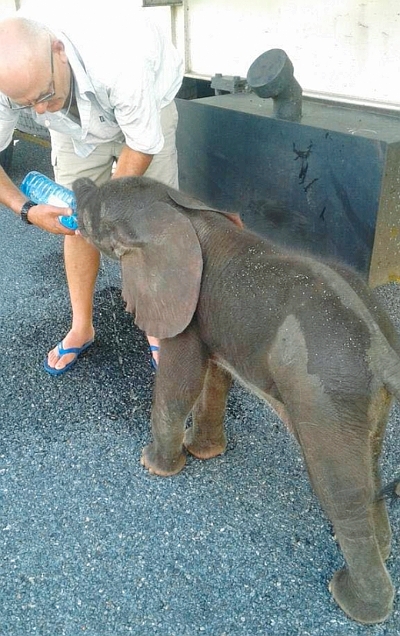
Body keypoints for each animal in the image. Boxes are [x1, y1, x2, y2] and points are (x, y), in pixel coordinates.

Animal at [74, 175, 400, 628]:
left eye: (94, 218)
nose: (79, 183)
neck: (178, 213)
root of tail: (385, 355)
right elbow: (215, 378)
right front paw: (202, 453)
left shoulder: (185, 311)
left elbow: (180, 382)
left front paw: (153, 467)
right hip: (359, 399)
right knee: (370, 465)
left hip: (325, 394)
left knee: (339, 489)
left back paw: (350, 599)